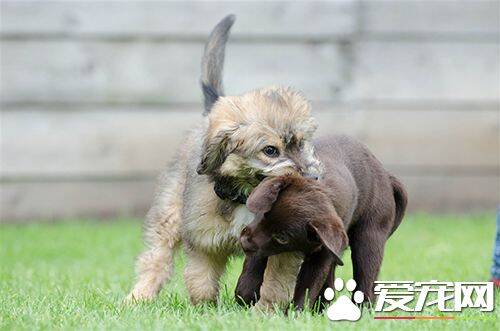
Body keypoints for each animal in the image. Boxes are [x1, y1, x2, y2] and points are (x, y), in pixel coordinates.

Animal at [127, 15, 322, 312]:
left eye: (301, 143)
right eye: (270, 151)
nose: (312, 179)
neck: (246, 197)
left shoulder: (282, 246)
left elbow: (275, 282)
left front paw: (266, 311)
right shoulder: (203, 242)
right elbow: (201, 280)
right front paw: (205, 309)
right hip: (169, 214)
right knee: (156, 258)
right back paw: (139, 296)